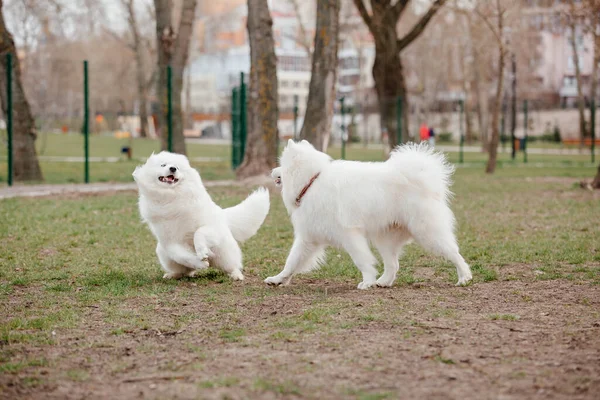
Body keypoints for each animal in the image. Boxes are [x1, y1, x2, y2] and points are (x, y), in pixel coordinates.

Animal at [134, 152, 272, 280]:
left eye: (177, 167)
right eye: (163, 165)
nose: (173, 168)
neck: (171, 197)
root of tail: (223, 215)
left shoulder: (210, 227)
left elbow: (198, 234)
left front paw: (202, 252)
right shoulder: (170, 242)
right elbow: (182, 256)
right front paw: (200, 263)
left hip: (224, 255)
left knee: (232, 265)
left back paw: (236, 275)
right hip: (163, 254)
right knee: (185, 271)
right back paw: (174, 275)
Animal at [268, 139, 474, 290]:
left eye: (280, 165)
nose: (271, 171)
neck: (311, 181)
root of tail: (424, 181)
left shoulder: (349, 234)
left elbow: (362, 260)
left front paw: (366, 281)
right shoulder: (309, 238)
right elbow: (292, 261)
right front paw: (278, 279)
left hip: (427, 233)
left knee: (454, 252)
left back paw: (465, 277)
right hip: (385, 238)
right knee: (393, 265)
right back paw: (382, 282)